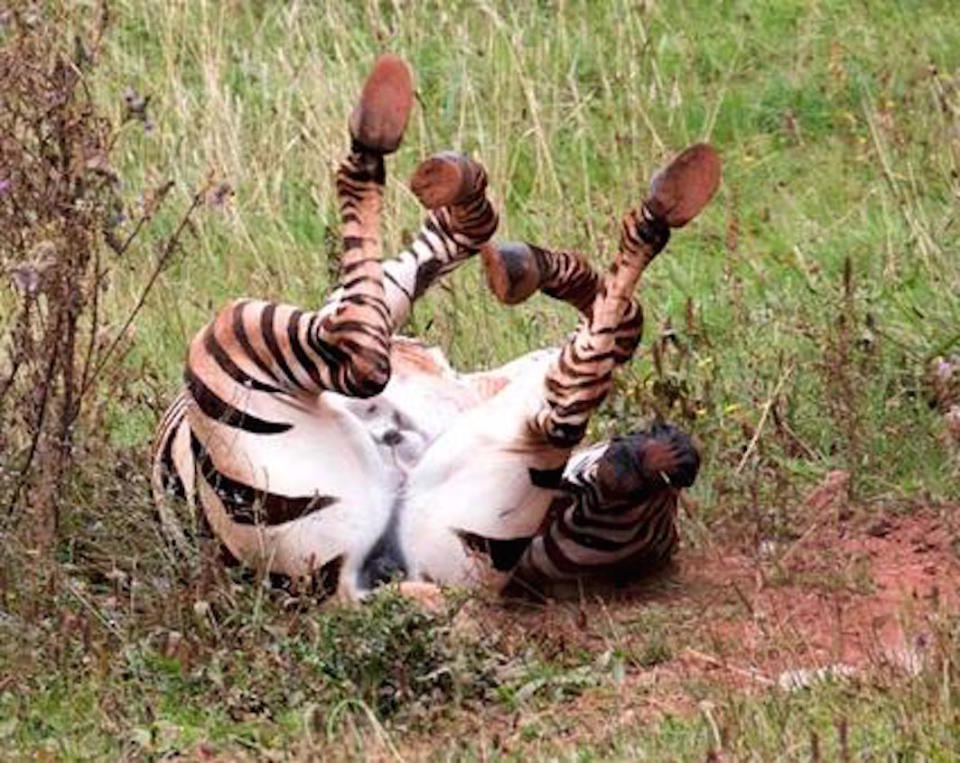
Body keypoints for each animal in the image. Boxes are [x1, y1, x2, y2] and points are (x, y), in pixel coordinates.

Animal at [150, 55, 720, 604]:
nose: (666, 454)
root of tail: (351, 588)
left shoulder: (349, 307)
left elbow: (403, 273)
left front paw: (490, 232)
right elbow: (621, 323)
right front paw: (515, 254)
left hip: (230, 340)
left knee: (361, 353)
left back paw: (376, 125)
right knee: (562, 404)